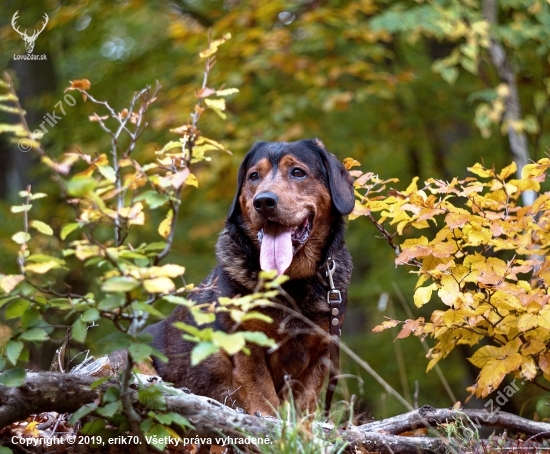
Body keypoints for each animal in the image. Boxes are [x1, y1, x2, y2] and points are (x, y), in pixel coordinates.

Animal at [144, 140, 356, 416]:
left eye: (298, 172)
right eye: (254, 176)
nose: (264, 201)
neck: (290, 281)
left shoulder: (322, 350)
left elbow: (305, 406)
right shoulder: (245, 344)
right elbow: (264, 400)